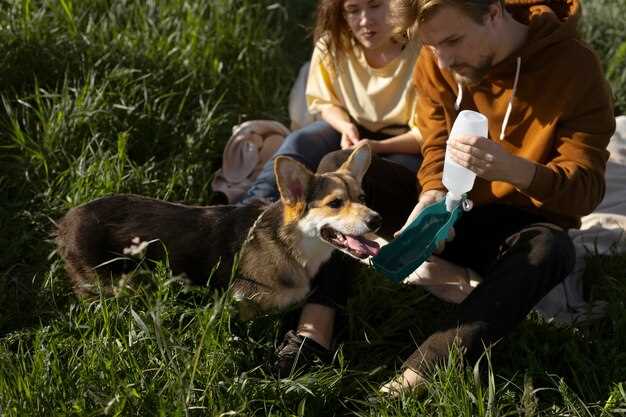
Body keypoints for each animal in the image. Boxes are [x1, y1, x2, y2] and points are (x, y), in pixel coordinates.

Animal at [56, 145, 380, 314]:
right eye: (335, 203)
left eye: (363, 197)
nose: (377, 220)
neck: (290, 244)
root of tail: (66, 221)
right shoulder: (242, 304)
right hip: (119, 285)